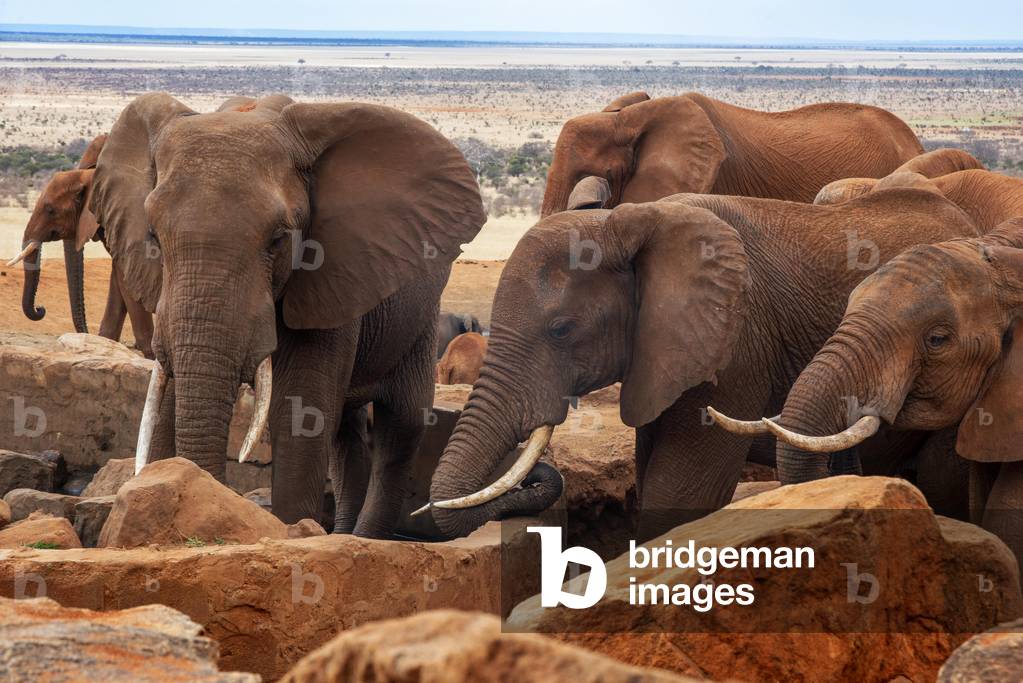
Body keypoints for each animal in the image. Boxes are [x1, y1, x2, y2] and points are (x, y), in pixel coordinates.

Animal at [89, 92, 485, 537]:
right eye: (153, 236)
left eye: (279, 239)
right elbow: (170, 396)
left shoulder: (332, 273)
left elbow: (299, 411)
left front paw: (293, 531)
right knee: (346, 436)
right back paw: (340, 534)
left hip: (421, 317)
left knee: (400, 426)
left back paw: (361, 536)